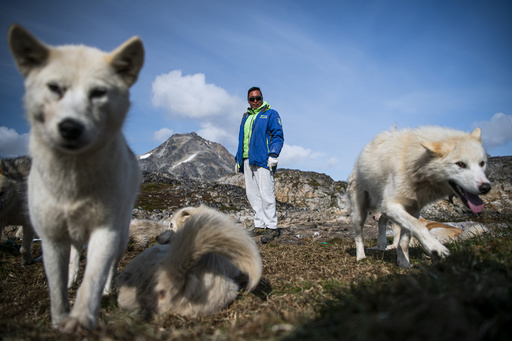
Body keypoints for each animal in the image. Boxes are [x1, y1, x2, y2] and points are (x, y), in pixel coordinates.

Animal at [8, 23, 143, 332]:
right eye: (54, 88)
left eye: (99, 93)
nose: (70, 127)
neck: (73, 181)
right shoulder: (51, 237)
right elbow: (56, 286)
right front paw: (60, 321)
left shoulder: (105, 231)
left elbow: (92, 279)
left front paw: (81, 319)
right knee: (74, 258)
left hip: (120, 235)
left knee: (108, 268)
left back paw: (106, 289)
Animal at [348, 125, 492, 266]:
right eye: (460, 164)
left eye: (482, 163)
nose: (486, 187)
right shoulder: (391, 205)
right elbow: (418, 226)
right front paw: (436, 248)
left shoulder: (413, 209)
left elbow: (405, 239)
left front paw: (404, 263)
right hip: (361, 213)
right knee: (359, 236)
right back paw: (361, 256)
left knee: (383, 221)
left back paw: (381, 243)